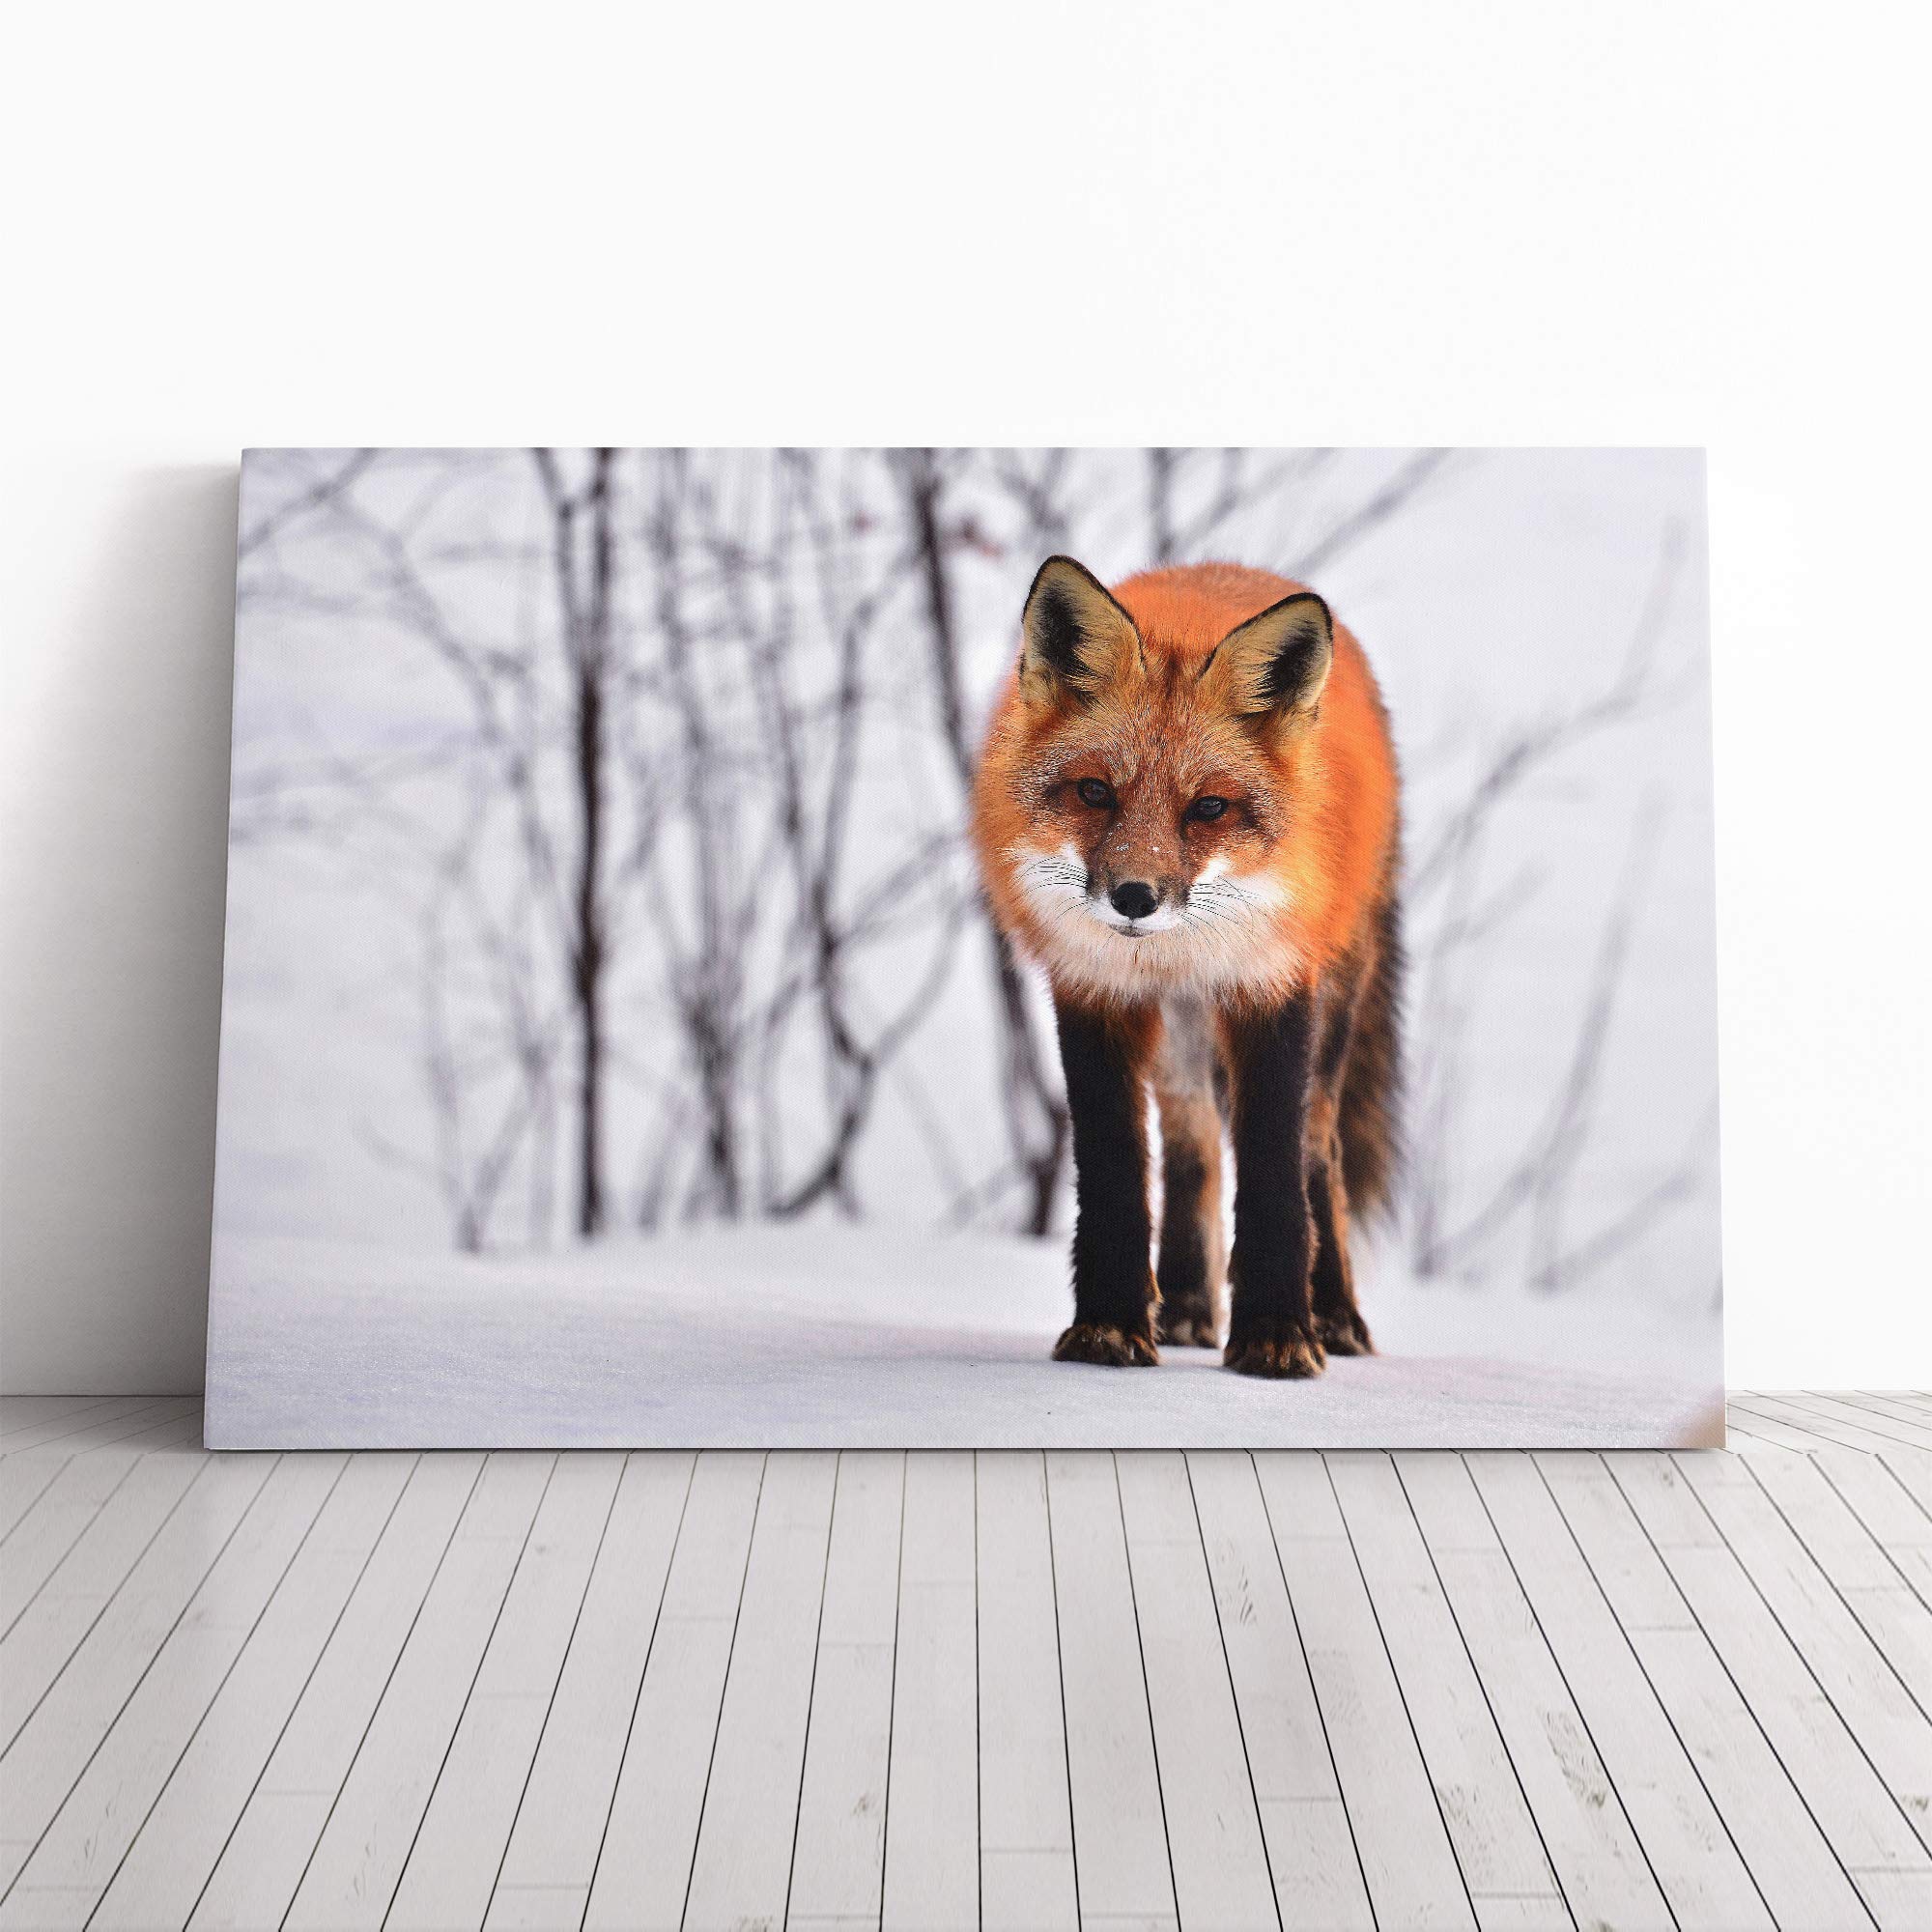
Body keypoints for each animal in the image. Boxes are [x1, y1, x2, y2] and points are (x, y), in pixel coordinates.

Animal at [972, 557, 1403, 1378]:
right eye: (1095, 791)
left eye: (1208, 808)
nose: (1135, 898)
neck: (1175, 947)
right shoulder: (1095, 990)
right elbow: (1115, 1170)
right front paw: (1108, 1326)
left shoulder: (1271, 986)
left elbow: (1272, 1171)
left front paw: (1276, 1334)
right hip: (1177, 1035)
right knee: (1191, 1143)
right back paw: (1184, 1306)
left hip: (1333, 1001)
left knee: (1318, 1150)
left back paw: (1334, 1314)